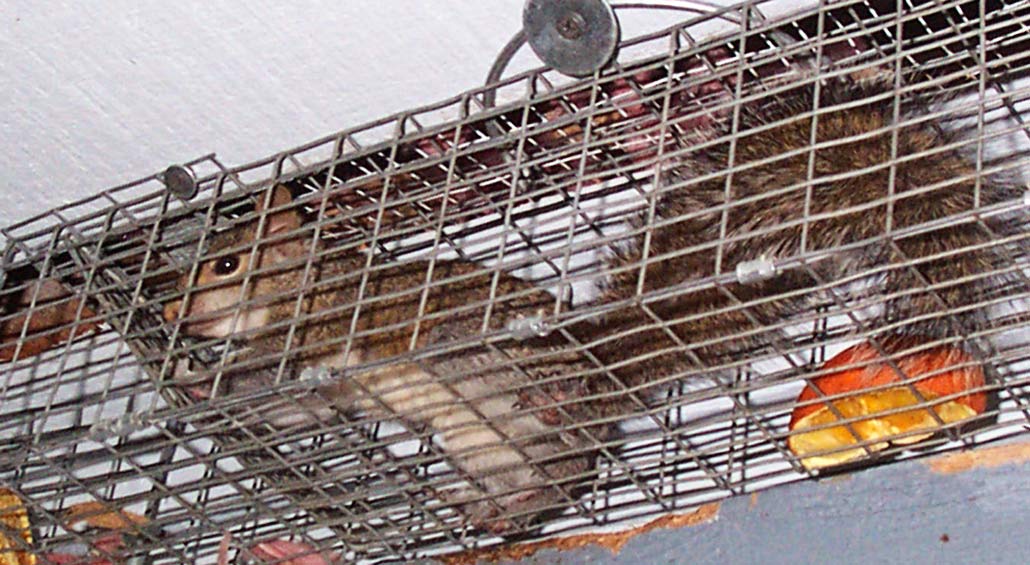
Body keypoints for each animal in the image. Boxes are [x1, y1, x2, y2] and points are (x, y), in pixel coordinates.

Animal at [163, 186, 611, 534]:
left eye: (226, 265)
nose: (169, 313)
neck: (300, 282)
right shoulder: (324, 392)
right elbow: (300, 408)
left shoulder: (311, 332)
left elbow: (253, 371)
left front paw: (193, 375)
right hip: (486, 444)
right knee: (555, 475)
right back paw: (499, 508)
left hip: (471, 348)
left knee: (568, 439)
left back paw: (554, 404)